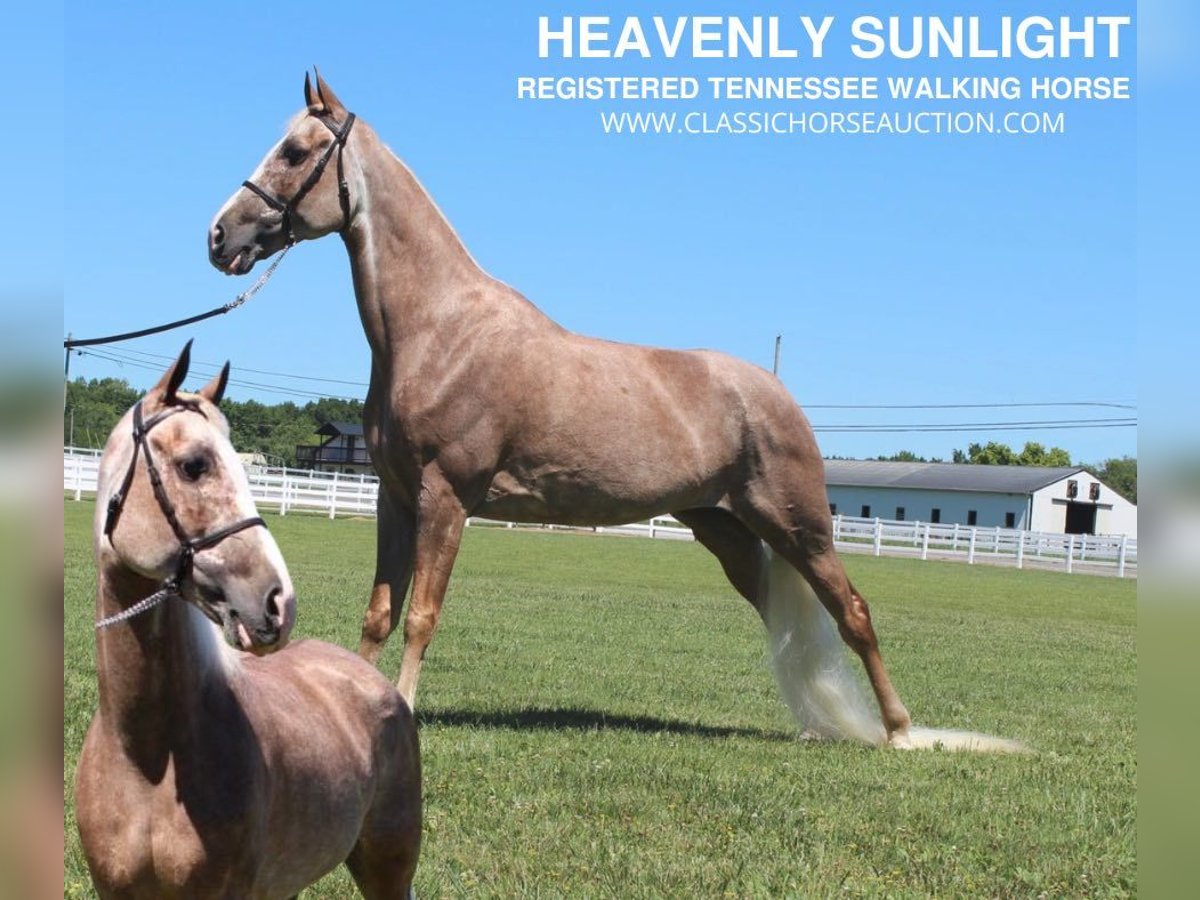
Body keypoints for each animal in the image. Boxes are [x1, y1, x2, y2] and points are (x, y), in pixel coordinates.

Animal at [208, 70, 916, 748]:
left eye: (296, 151)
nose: (219, 235)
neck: (441, 332)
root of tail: (776, 395)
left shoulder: (446, 499)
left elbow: (421, 617)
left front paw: (404, 707)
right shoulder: (395, 499)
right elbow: (379, 613)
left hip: (800, 528)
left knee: (853, 612)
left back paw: (900, 729)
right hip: (729, 532)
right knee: (787, 623)